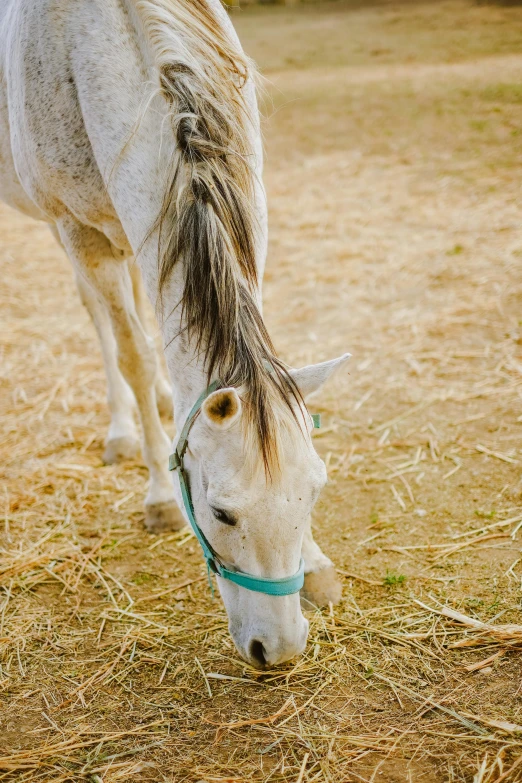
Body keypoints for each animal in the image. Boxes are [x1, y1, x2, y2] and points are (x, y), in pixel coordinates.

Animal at [1, 0, 350, 668]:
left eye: (316, 490)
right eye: (221, 513)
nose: (281, 648)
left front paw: (316, 563)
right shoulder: (79, 232)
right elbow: (134, 353)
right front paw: (160, 496)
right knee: (104, 322)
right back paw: (123, 431)